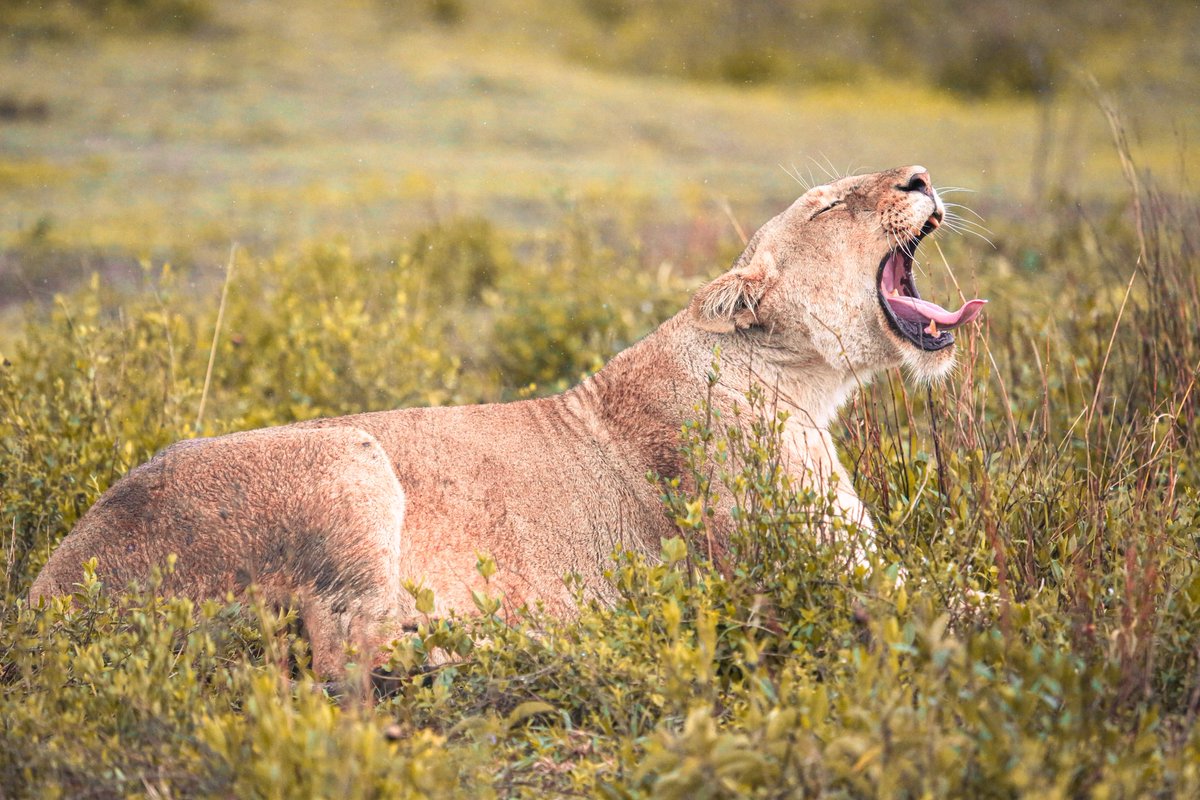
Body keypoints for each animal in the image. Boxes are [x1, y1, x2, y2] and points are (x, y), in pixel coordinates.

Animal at [29, 166, 984, 676]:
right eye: (827, 205)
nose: (920, 176)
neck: (800, 379)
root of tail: (48, 594)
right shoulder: (811, 573)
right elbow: (967, 598)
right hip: (349, 454)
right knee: (345, 647)